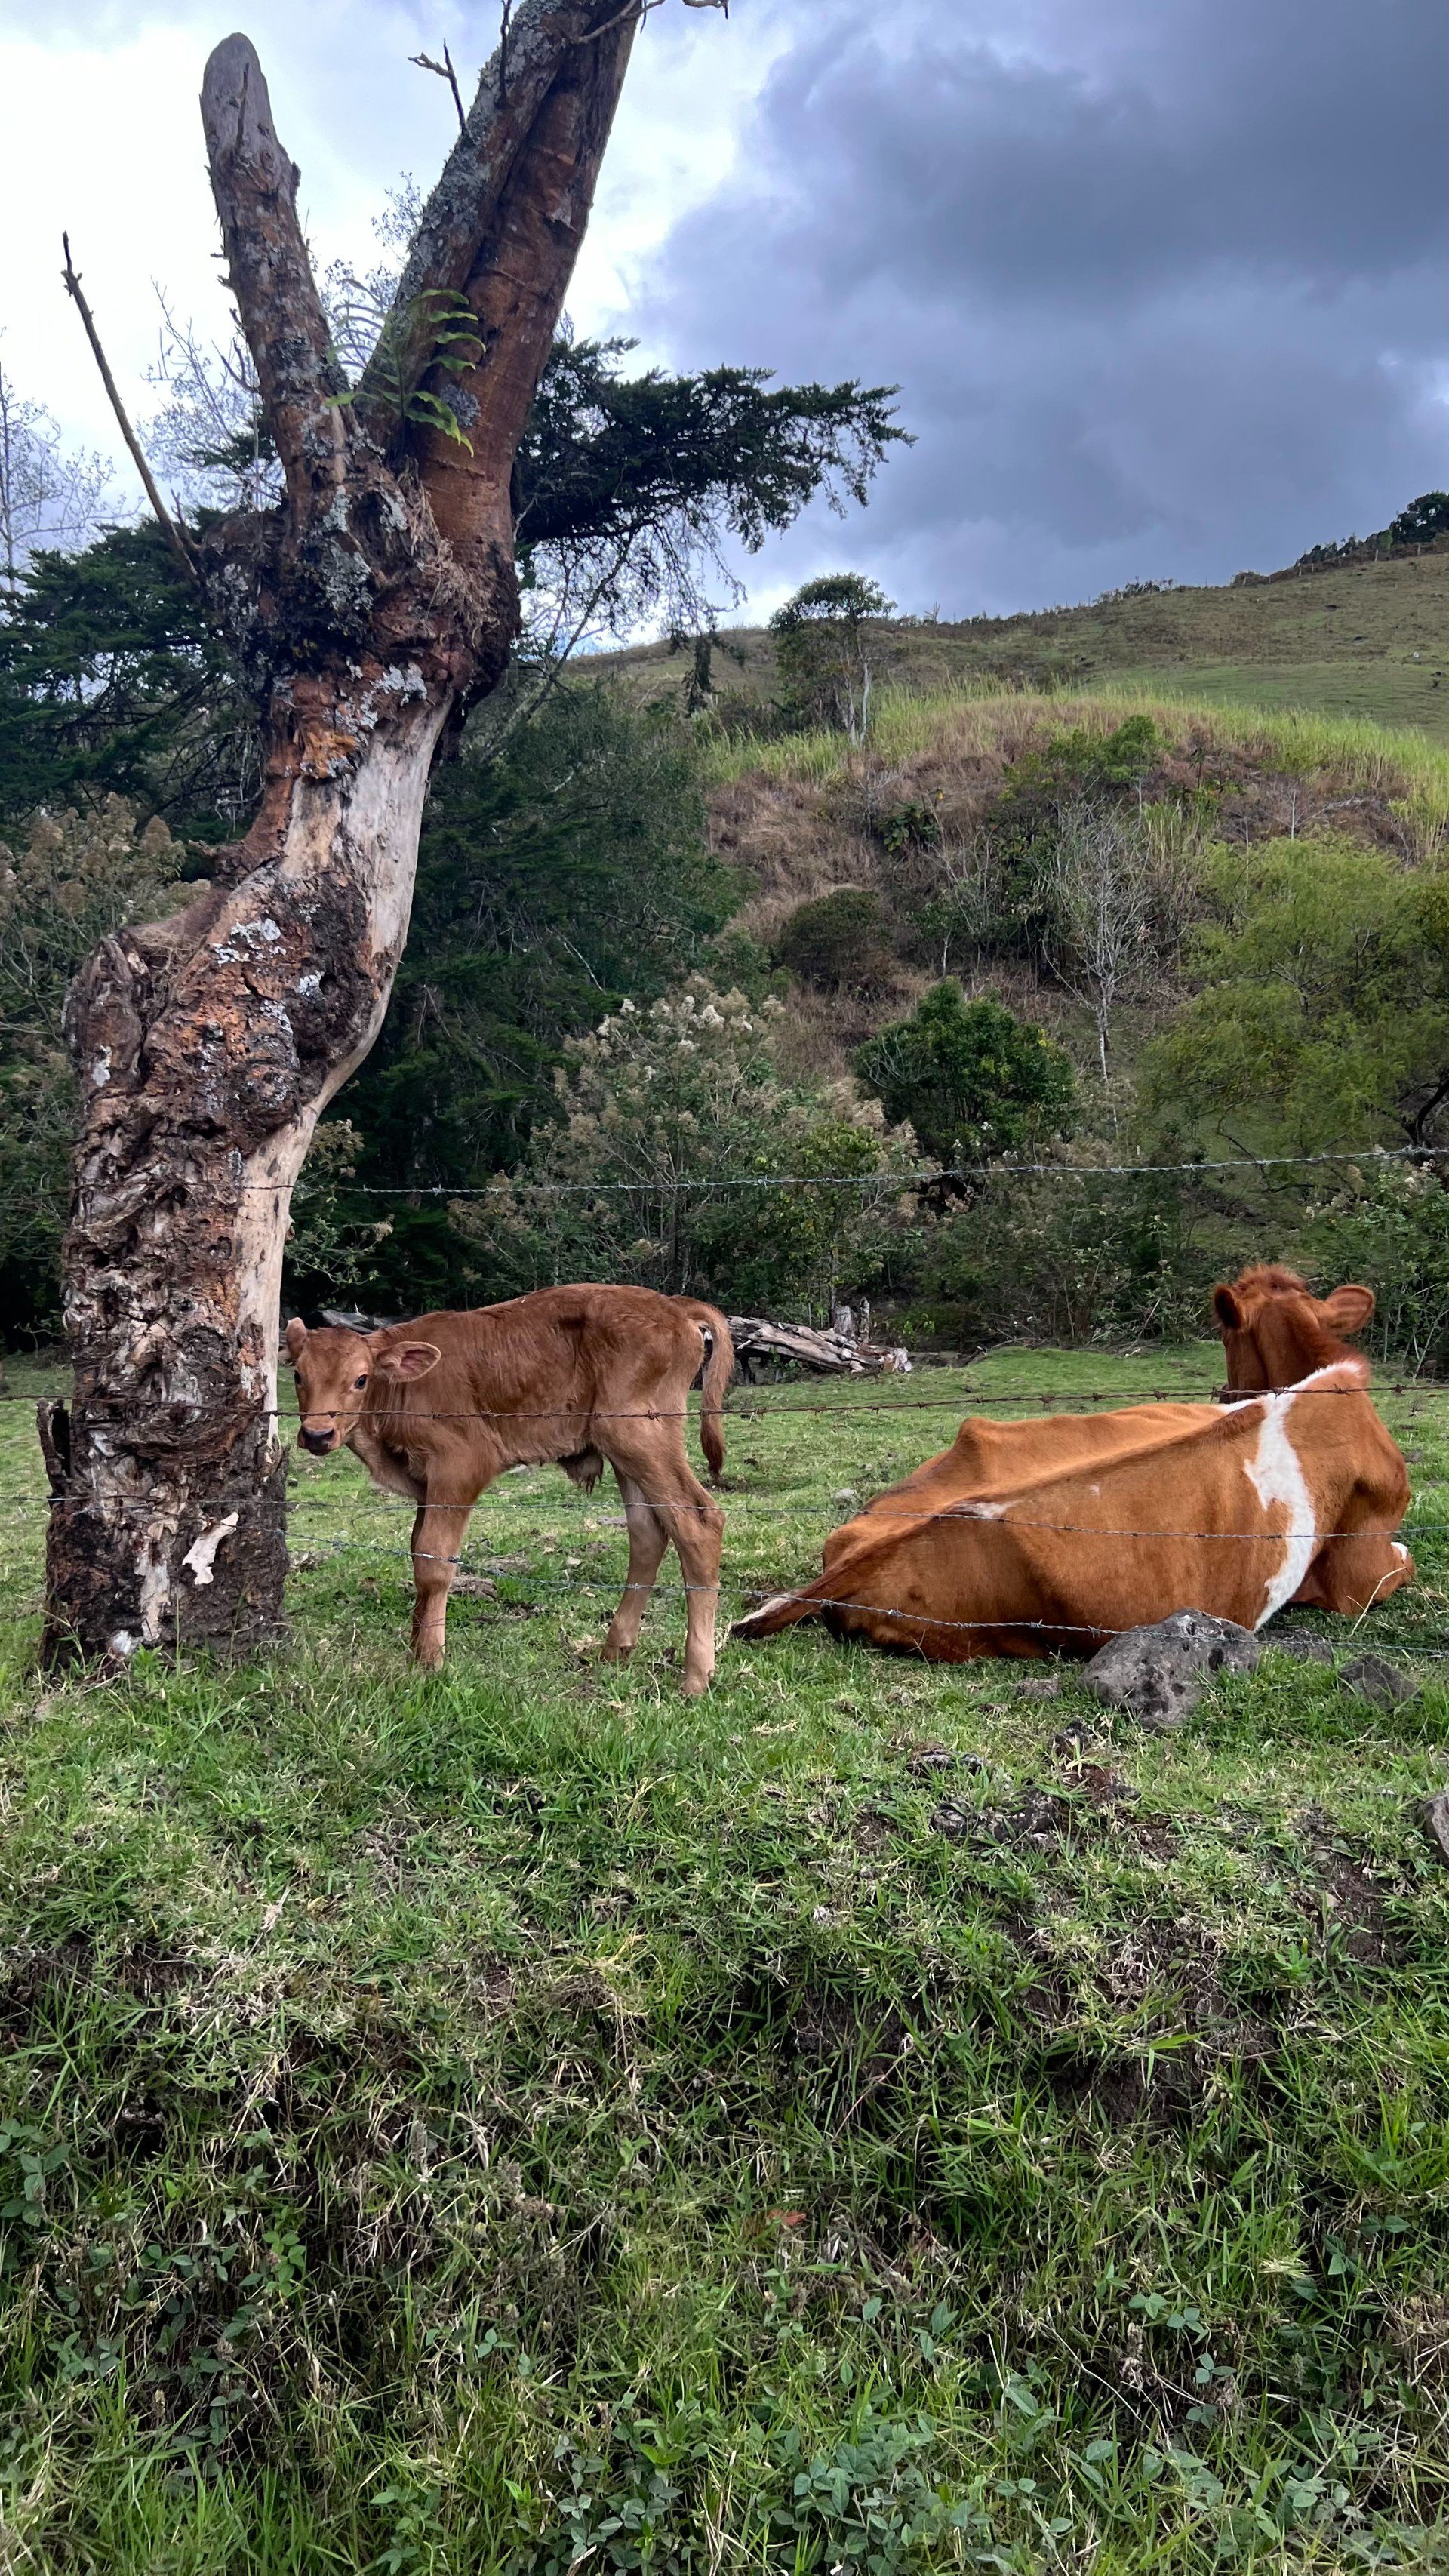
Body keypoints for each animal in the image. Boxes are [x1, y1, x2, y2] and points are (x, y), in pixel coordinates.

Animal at [287, 1288, 736, 1689]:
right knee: (649, 1532)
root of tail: (672, 1305)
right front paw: (417, 1647)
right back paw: (615, 1650)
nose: (317, 1434)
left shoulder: (461, 1465)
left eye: (361, 1379)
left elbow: (435, 1561)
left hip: (639, 1436)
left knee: (699, 1524)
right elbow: (418, 1551)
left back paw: (696, 1676)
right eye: (297, 1375)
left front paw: (430, 1660)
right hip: (628, 1452)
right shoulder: (425, 1487)